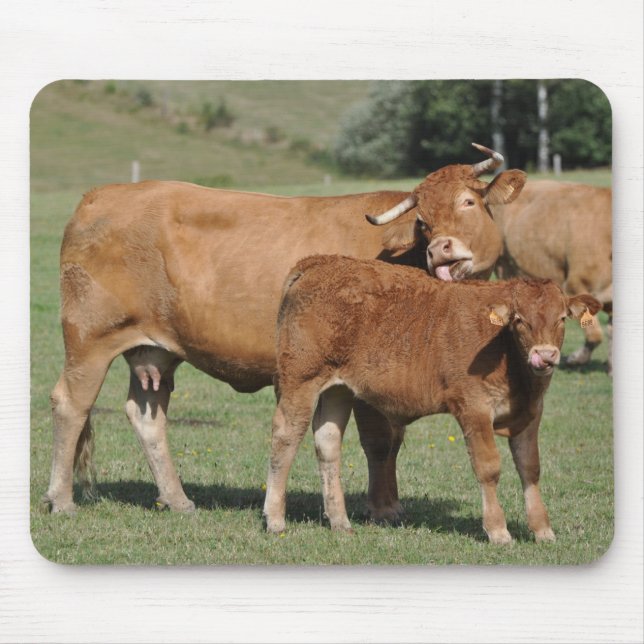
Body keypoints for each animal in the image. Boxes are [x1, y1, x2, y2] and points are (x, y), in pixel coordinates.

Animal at [45, 144, 527, 520]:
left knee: (146, 415)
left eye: (468, 202)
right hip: (89, 340)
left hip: (155, 352)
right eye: (423, 220)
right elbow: (379, 440)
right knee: (72, 405)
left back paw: (178, 500)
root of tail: (99, 196)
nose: (441, 250)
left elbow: (389, 439)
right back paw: (61, 499)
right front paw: (384, 507)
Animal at [263, 255, 601, 543]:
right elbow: (488, 467)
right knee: (285, 438)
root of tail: (320, 261)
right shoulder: (474, 408)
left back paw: (340, 521)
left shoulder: (531, 413)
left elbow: (530, 468)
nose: (545, 356)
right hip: (301, 379)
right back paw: (276, 519)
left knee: (328, 443)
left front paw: (543, 529)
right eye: (519, 320)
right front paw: (498, 530)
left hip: (338, 389)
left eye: (562, 318)